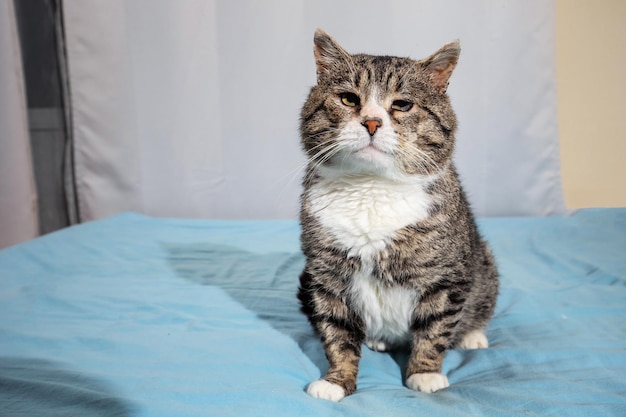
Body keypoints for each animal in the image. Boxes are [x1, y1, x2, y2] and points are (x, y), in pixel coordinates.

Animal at [296, 29, 498, 400]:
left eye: (402, 105)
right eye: (348, 99)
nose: (372, 121)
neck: (371, 187)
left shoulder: (447, 277)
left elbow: (435, 329)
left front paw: (425, 373)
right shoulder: (326, 276)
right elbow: (337, 334)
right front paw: (336, 381)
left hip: (484, 262)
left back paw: (472, 335)